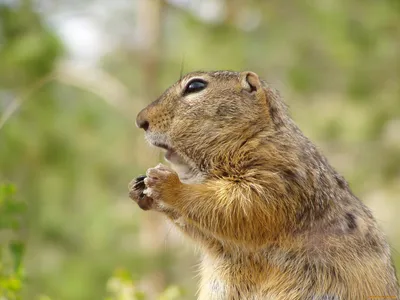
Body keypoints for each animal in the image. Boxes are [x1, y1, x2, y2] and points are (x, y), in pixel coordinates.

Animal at [129, 71, 400, 300]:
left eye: (195, 86)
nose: (140, 120)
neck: (255, 137)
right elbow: (210, 230)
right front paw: (140, 188)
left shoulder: (281, 176)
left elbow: (242, 207)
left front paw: (168, 183)